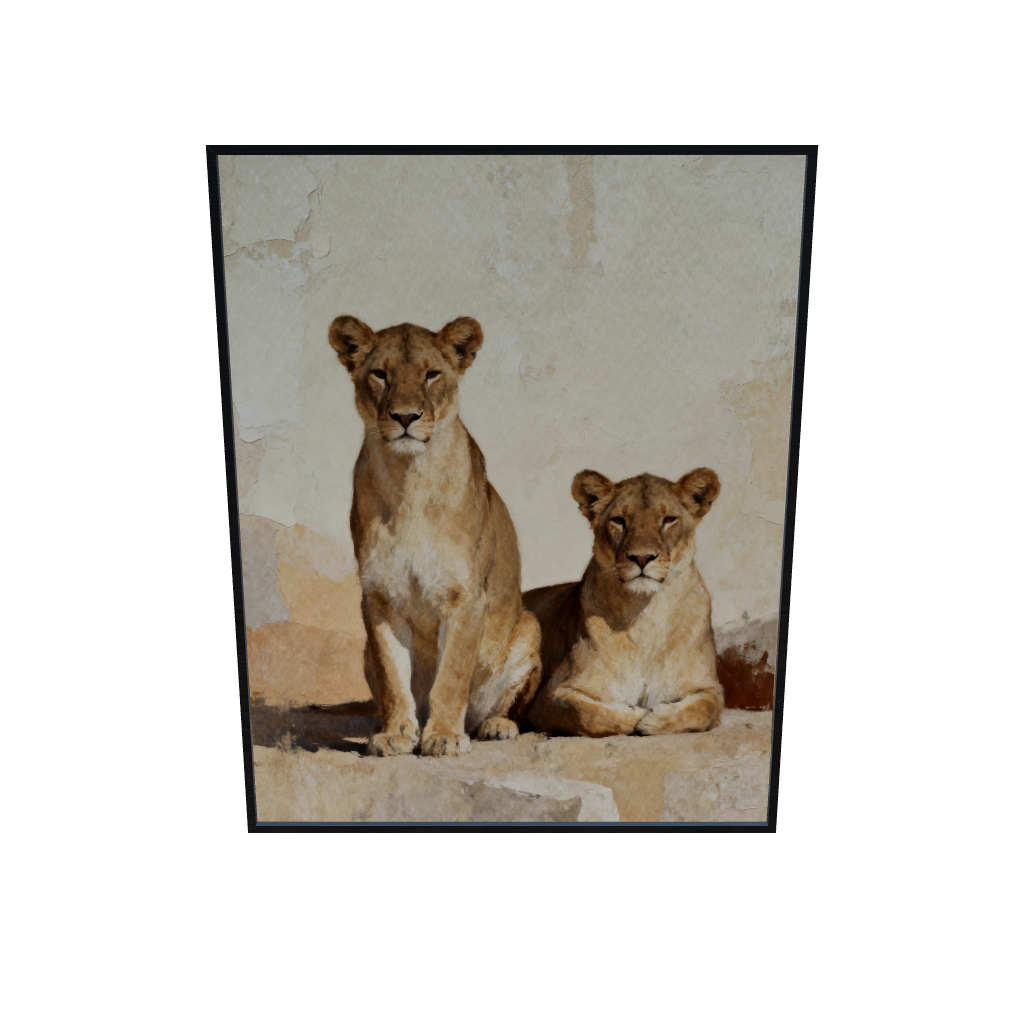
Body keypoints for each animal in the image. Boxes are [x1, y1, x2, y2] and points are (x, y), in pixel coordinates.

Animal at [328, 315, 542, 757]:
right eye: (380, 374)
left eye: (431, 374)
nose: (405, 416)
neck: (408, 480)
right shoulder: (379, 597)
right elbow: (393, 676)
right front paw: (395, 733)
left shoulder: (465, 597)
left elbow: (452, 676)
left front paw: (443, 735)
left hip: (529, 626)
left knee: (505, 706)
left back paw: (495, 726)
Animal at [523, 467, 725, 738]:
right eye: (619, 520)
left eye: (668, 519)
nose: (642, 557)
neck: (645, 614)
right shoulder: (551, 695)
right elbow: (585, 714)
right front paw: (636, 714)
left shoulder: (709, 685)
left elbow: (706, 709)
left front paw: (656, 719)